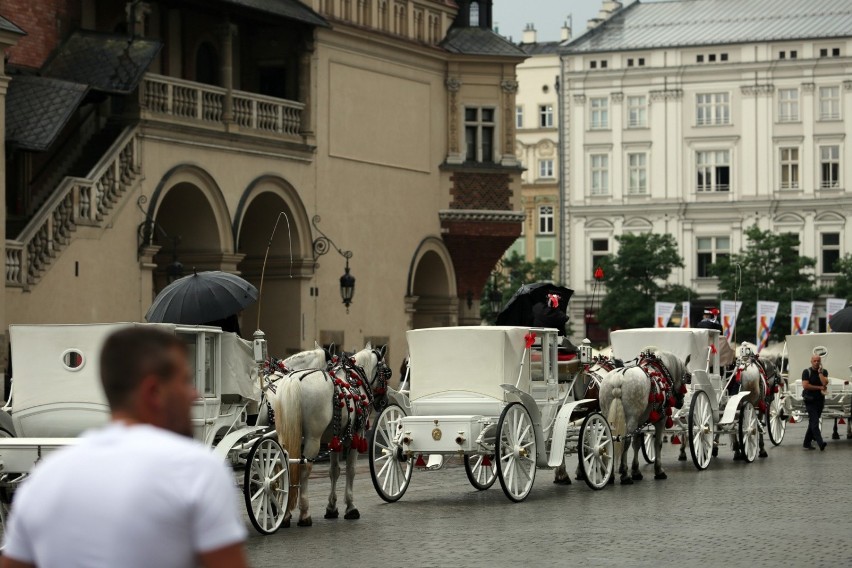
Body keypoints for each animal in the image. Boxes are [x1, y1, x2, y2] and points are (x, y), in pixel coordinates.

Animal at [270, 344, 390, 524]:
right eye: (388, 373)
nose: (384, 401)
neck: (355, 380)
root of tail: (293, 380)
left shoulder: (335, 439)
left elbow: (334, 471)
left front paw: (332, 508)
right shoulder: (355, 436)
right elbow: (350, 469)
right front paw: (350, 507)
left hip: (284, 434)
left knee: (283, 465)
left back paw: (285, 514)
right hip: (313, 438)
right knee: (304, 467)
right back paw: (304, 513)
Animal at [600, 348, 692, 486]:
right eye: (688, 378)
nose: (681, 402)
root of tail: (618, 378)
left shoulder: (639, 422)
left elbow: (637, 443)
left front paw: (636, 471)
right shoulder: (661, 420)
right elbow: (658, 443)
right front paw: (658, 471)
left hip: (609, 416)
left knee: (610, 440)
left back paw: (610, 475)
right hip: (631, 418)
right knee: (625, 441)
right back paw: (625, 476)